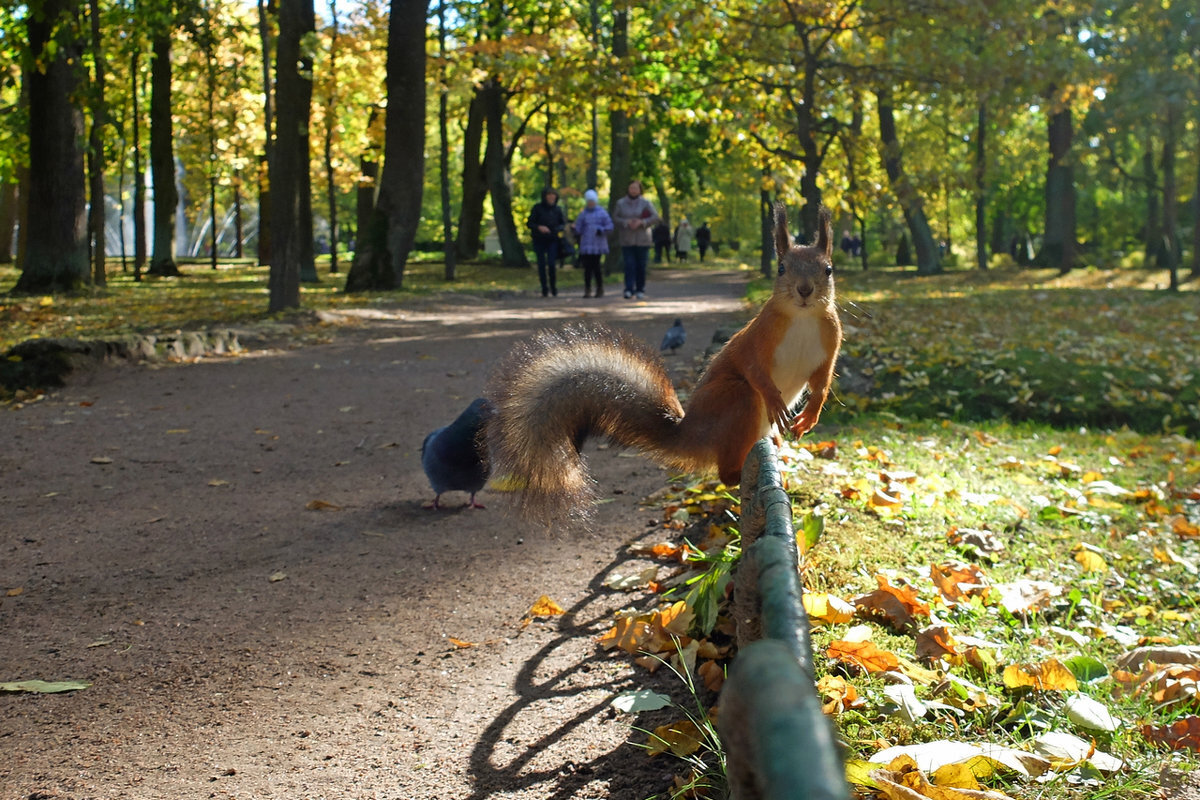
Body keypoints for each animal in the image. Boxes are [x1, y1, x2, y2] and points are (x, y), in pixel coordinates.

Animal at [482, 203, 840, 522]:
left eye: (828, 269)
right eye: (781, 268)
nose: (804, 290)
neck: (802, 319)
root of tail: (692, 433)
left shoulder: (831, 341)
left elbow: (822, 381)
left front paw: (809, 415)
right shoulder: (755, 340)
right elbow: (754, 369)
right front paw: (776, 400)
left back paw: (776, 448)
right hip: (736, 400)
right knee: (726, 468)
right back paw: (743, 473)